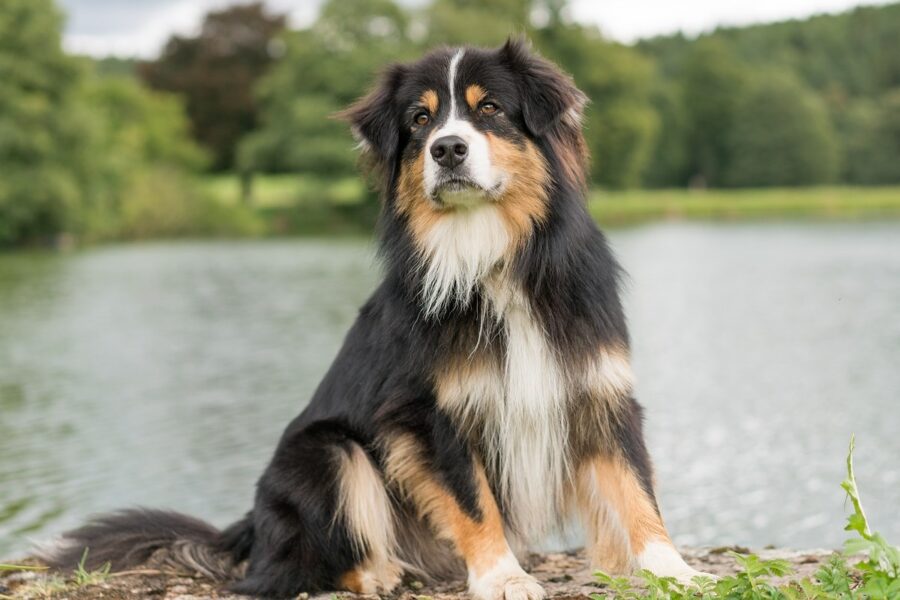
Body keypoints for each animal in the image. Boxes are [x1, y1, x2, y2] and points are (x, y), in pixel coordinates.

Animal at [40, 38, 704, 600]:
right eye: (420, 120)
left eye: (489, 108)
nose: (447, 148)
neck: (489, 258)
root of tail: (248, 530)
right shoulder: (429, 413)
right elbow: (474, 500)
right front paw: (503, 577)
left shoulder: (597, 387)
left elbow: (635, 489)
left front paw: (672, 570)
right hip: (327, 454)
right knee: (294, 571)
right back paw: (378, 572)